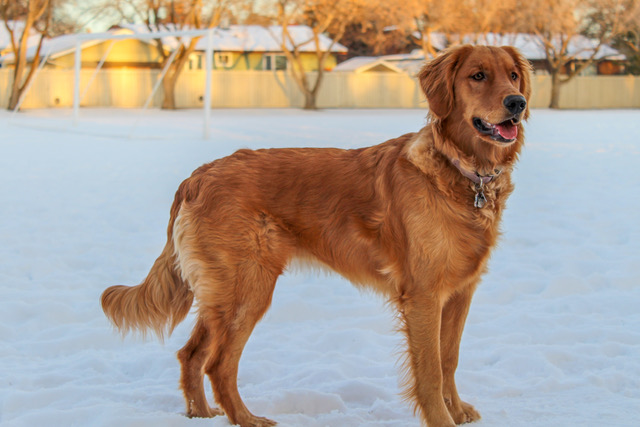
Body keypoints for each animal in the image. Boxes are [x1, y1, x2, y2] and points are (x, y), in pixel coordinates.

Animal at [101, 45, 528, 426]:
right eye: (477, 75)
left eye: (513, 75)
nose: (518, 102)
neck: (462, 172)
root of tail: (197, 176)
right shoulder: (423, 295)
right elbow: (430, 370)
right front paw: (442, 420)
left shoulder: (460, 291)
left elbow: (449, 358)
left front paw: (457, 411)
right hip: (247, 289)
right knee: (219, 364)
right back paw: (248, 419)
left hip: (221, 295)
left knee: (191, 355)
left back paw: (202, 414)